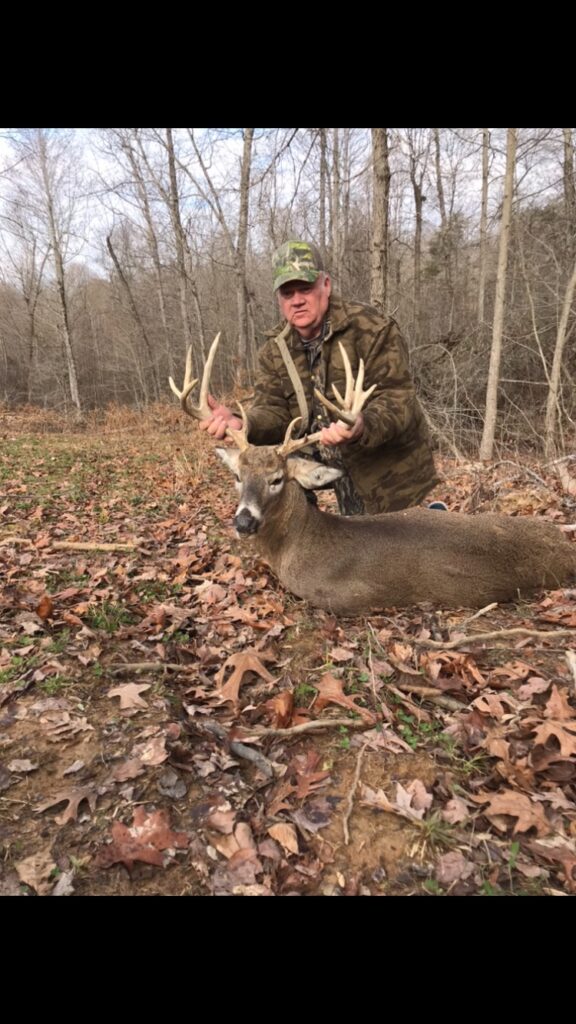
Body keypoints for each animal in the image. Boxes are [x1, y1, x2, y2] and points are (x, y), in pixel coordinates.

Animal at [170, 335, 576, 615]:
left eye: (277, 479)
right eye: (238, 476)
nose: (244, 521)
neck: (298, 543)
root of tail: (565, 547)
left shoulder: (344, 596)